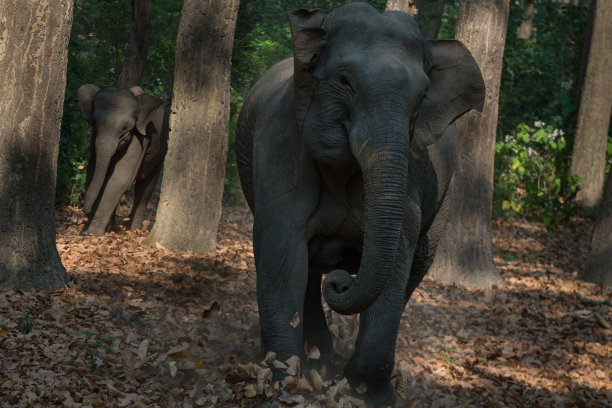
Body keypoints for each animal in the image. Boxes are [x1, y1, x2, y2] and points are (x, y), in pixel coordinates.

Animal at [76, 84, 170, 236]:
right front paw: (91, 229)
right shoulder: (94, 140)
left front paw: (93, 233)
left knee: (145, 187)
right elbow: (93, 171)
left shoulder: (140, 137)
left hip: (161, 150)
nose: (86, 211)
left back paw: (133, 230)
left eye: (125, 128)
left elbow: (119, 178)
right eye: (94, 123)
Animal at [237, 2, 486, 404]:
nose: (340, 282)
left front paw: (369, 395)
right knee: (308, 272)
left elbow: (396, 259)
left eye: (422, 96)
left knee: (415, 269)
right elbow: (281, 253)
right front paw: (281, 383)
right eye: (344, 81)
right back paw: (319, 361)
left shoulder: (413, 173)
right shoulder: (280, 147)